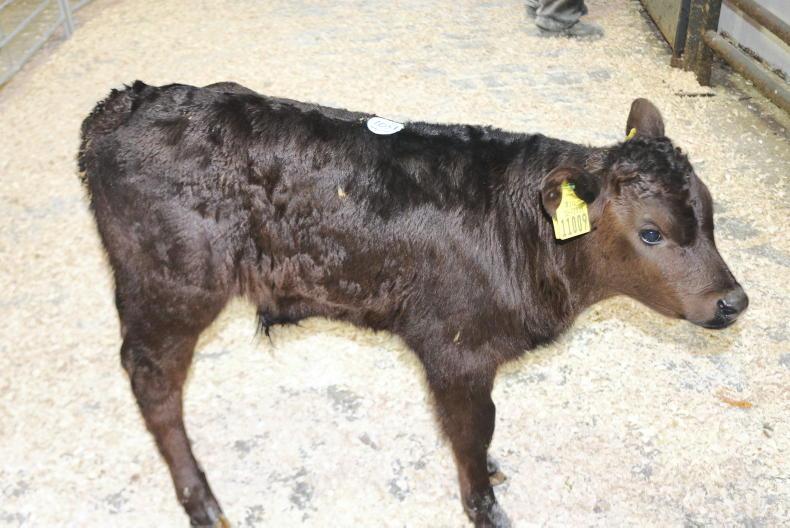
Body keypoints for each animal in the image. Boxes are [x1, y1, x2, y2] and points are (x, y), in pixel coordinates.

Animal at [78, 81, 748, 527]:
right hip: (173, 282)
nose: (732, 301)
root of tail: (129, 103)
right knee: (153, 382)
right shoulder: (457, 349)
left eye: (712, 215)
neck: (524, 234)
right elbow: (473, 431)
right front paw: (486, 508)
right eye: (651, 233)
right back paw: (203, 501)